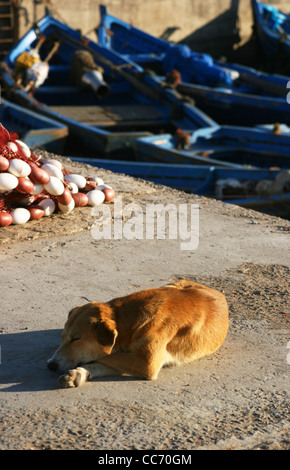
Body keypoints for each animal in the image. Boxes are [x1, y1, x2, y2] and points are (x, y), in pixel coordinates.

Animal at [47, 280, 229, 388]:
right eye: (63, 337)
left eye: (76, 339)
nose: (50, 365)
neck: (127, 321)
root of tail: (219, 293)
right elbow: (104, 361)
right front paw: (80, 373)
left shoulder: (147, 363)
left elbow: (104, 356)